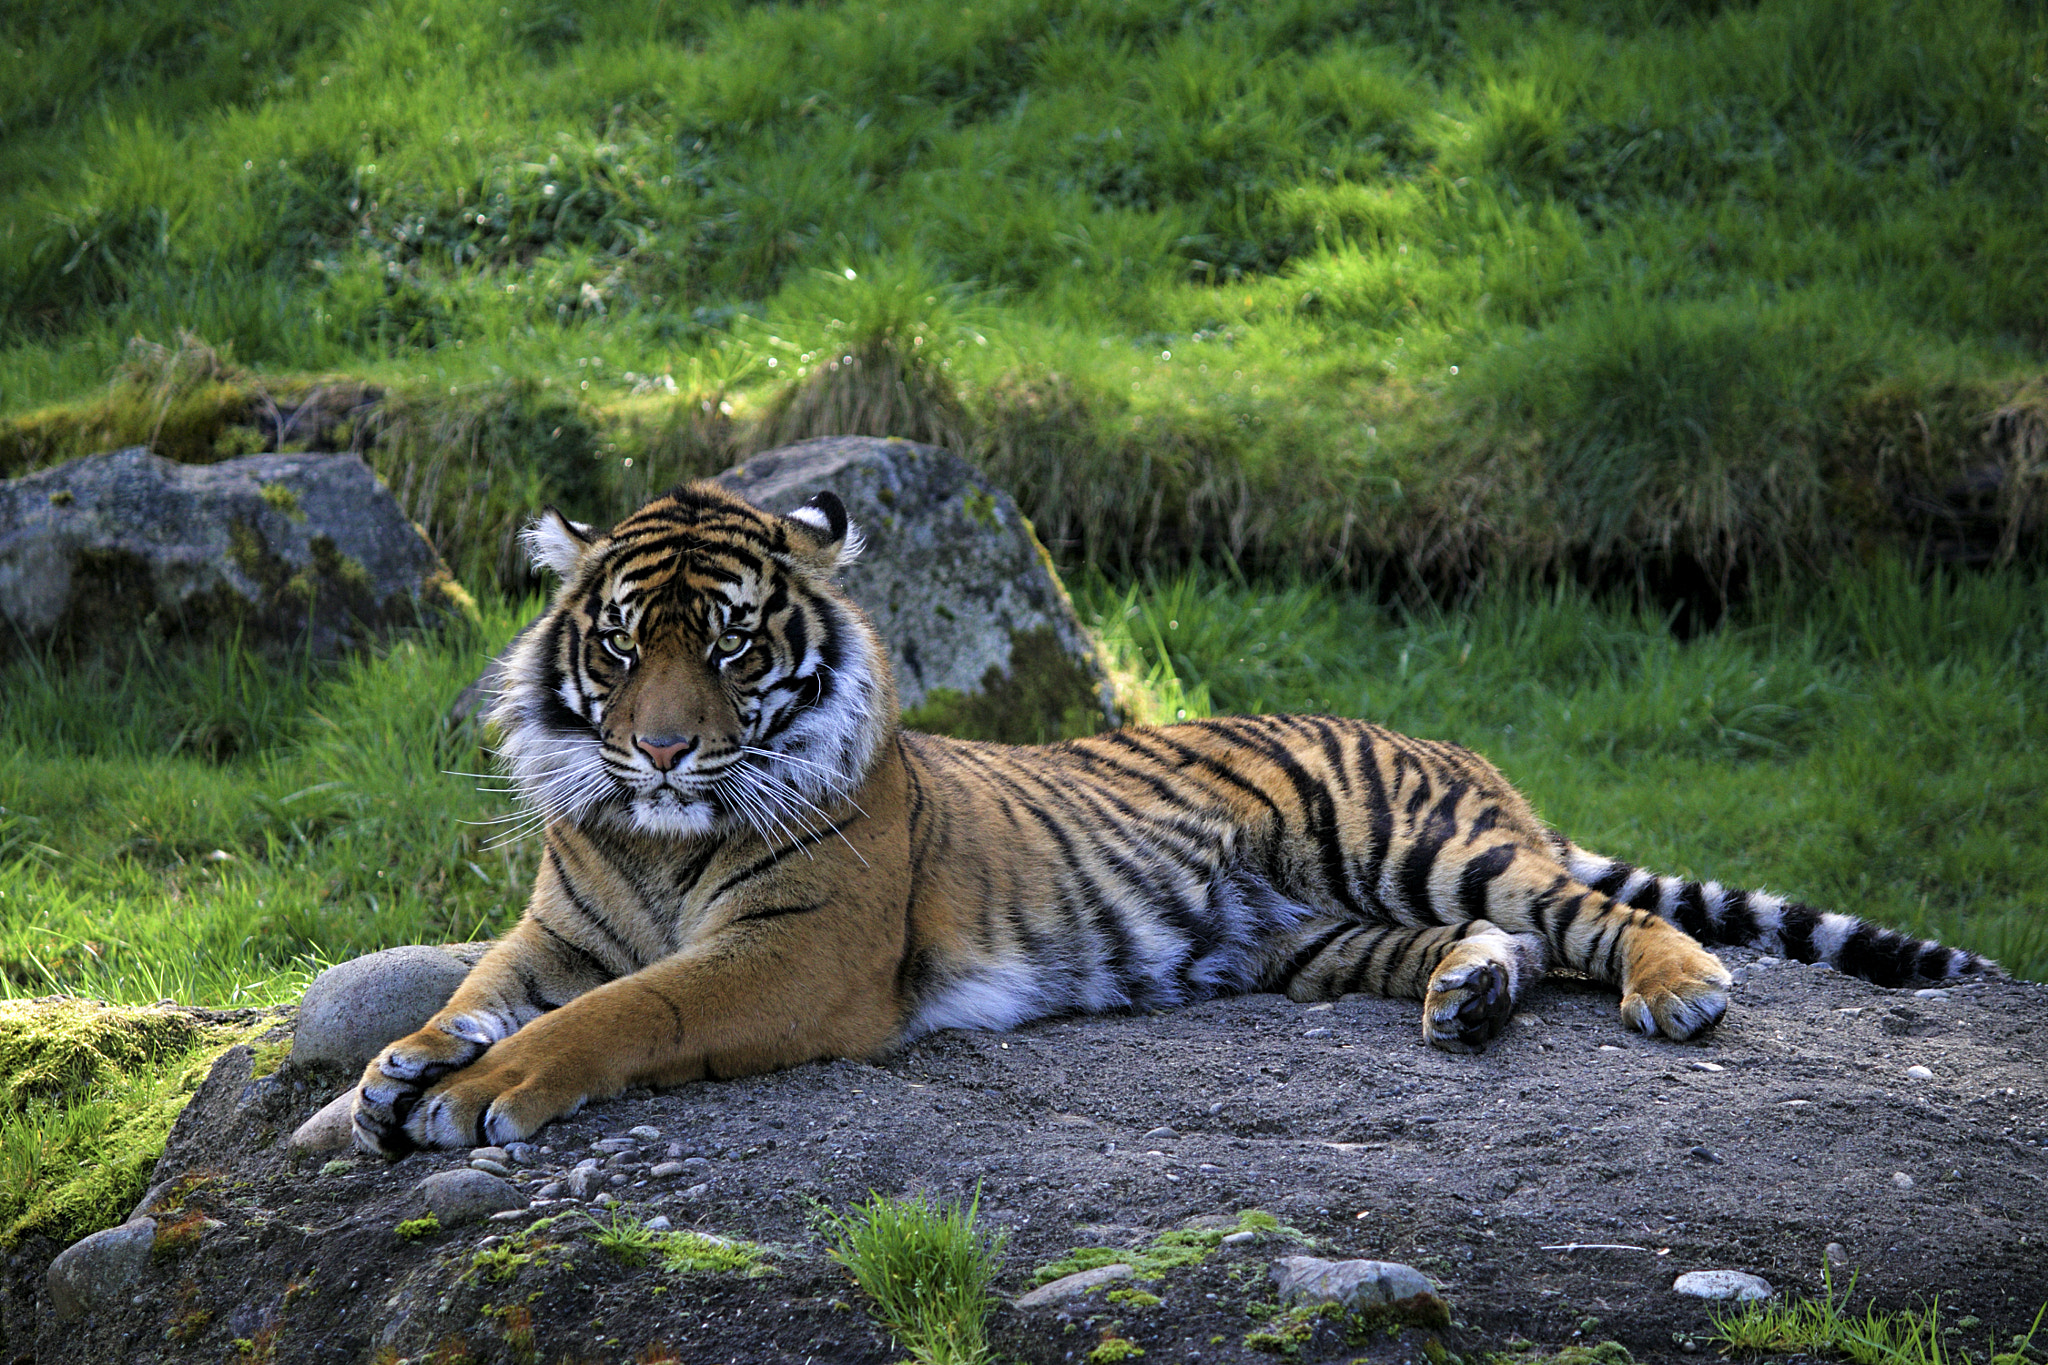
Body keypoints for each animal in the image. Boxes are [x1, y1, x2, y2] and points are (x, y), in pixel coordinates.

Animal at [351, 480, 1997, 1155]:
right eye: (627, 645)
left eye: (736, 648)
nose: (661, 750)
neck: (652, 838)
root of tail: (1454, 741)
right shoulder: (558, 930)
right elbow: (480, 988)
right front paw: (396, 1070)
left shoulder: (796, 957)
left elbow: (625, 1013)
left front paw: (486, 1094)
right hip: (1312, 937)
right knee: (1494, 949)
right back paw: (1466, 1002)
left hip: (1418, 841)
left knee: (1591, 913)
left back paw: (1682, 988)